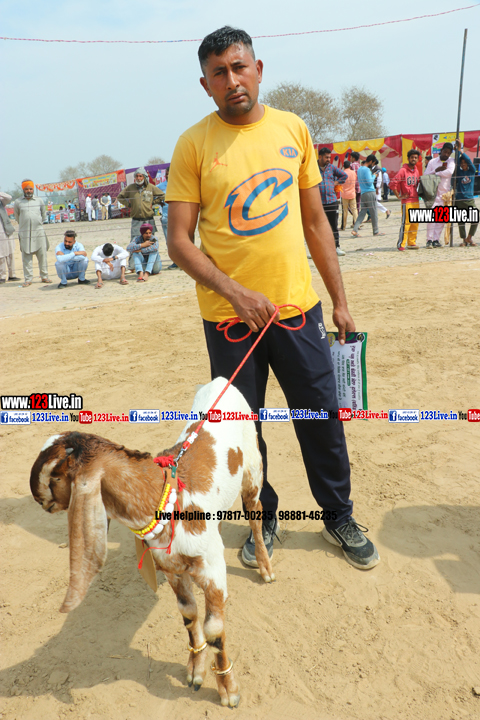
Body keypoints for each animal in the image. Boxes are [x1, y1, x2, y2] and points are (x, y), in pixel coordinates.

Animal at [30, 378, 274, 708]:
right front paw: (195, 670)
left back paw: (265, 566)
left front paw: (228, 689)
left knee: (255, 514)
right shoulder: (171, 570)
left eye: (55, 473)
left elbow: (214, 629)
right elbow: (189, 614)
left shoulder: (211, 571)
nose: (37, 497)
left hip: (252, 468)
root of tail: (222, 381)